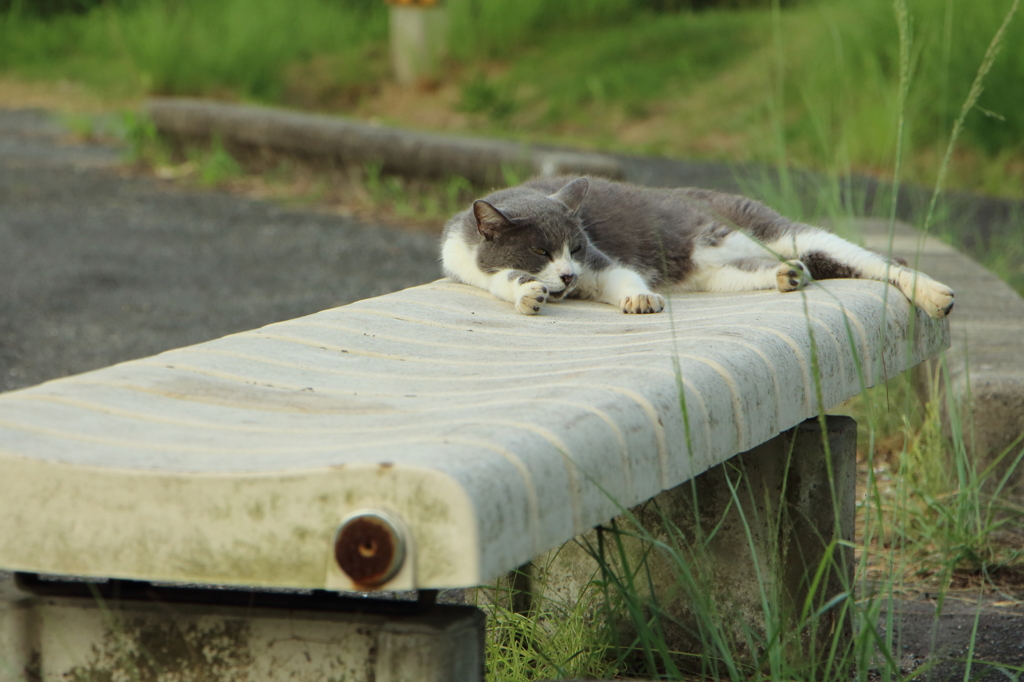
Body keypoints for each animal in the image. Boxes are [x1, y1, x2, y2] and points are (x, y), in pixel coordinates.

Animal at [444, 173, 954, 315]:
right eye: (539, 251)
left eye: (577, 248)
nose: (568, 275)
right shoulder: (467, 267)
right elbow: (502, 280)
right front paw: (528, 293)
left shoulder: (603, 262)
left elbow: (622, 276)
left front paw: (641, 299)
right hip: (716, 274)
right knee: (770, 269)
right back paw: (788, 274)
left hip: (778, 230)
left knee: (880, 261)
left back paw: (935, 295)